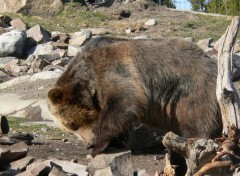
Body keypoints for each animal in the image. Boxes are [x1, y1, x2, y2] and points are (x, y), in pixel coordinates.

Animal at [47, 36, 222, 156]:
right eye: (71, 128)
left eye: (74, 124)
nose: (87, 143)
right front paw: (118, 141)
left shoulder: (115, 71)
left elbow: (123, 102)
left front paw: (97, 143)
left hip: (192, 87)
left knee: (195, 117)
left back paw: (188, 139)